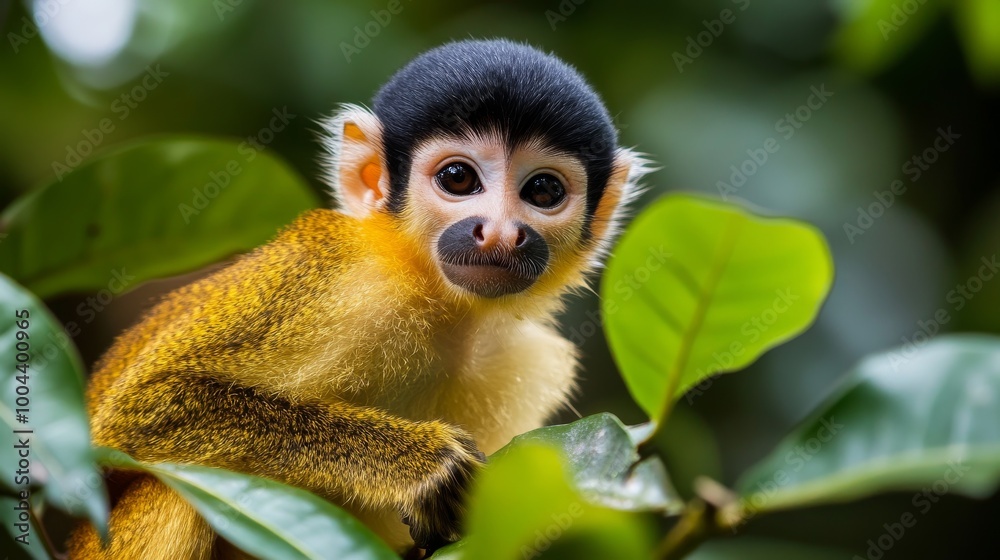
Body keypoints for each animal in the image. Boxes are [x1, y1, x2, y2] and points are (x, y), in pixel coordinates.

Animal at [67, 39, 650, 558]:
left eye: (544, 191)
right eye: (458, 178)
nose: (501, 233)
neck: (442, 307)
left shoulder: (526, 360)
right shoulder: (333, 277)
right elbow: (138, 411)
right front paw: (418, 463)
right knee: (178, 487)